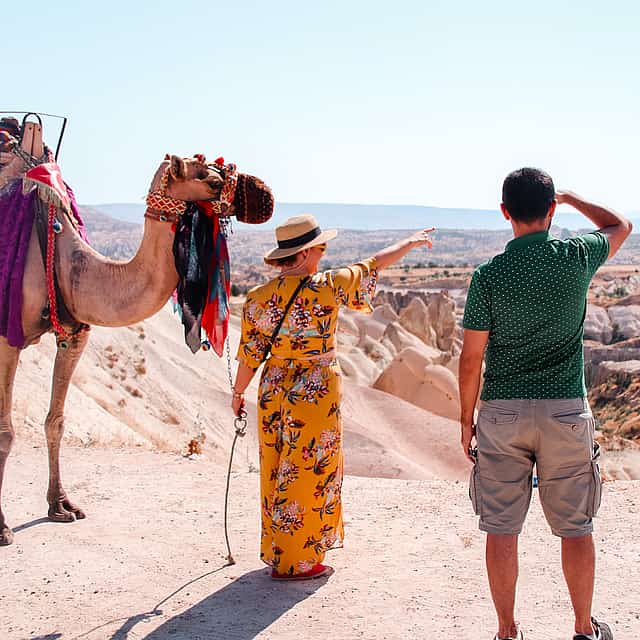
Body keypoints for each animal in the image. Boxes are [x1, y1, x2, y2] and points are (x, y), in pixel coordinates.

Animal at [0, 132, 273, 546]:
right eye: (212, 180)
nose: (266, 195)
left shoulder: (74, 334)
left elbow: (56, 421)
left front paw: (61, 506)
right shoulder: (7, 338)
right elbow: (5, 432)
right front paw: (1, 527)